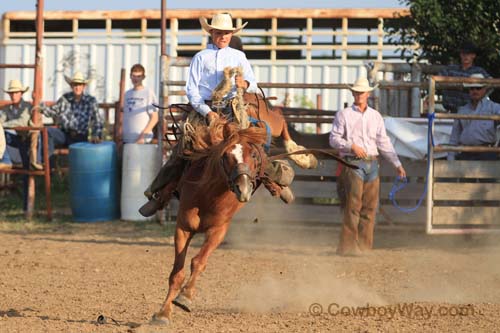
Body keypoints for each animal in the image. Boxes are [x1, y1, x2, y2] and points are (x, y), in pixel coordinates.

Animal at [152, 117, 270, 324]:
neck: (209, 195)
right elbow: (177, 274)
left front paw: (185, 297)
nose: (243, 189)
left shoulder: (218, 231)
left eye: (254, 155)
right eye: (226, 155)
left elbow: (199, 261)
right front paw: (163, 313)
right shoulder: (183, 228)